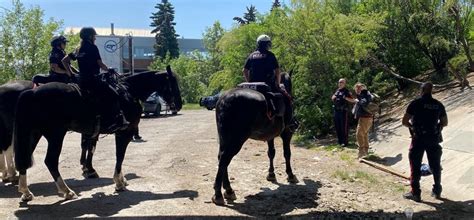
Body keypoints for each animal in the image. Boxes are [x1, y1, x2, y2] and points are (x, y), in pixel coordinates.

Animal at [13, 66, 181, 201]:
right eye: (172, 83)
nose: (179, 104)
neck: (129, 92)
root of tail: (32, 92)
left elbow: (109, 154)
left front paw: (119, 179)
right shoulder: (124, 133)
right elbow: (120, 156)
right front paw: (118, 182)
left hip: (34, 134)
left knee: (24, 158)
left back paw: (25, 192)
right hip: (56, 136)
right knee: (50, 161)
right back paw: (67, 191)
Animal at [213, 72, 298, 206]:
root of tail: (224, 100)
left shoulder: (270, 136)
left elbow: (271, 153)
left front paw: (271, 174)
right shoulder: (287, 134)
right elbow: (287, 154)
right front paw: (290, 174)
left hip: (224, 138)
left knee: (221, 158)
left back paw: (228, 190)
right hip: (236, 140)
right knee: (224, 159)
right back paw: (219, 194)